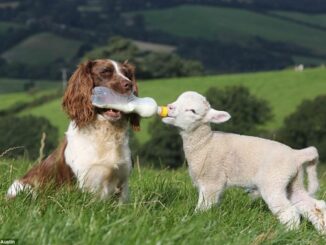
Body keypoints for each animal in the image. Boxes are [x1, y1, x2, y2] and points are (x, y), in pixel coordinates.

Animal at [7, 59, 140, 201]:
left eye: (127, 74)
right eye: (105, 71)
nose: (129, 85)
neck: (105, 133)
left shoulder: (123, 182)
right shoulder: (83, 182)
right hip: (24, 188)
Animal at [162, 91, 326, 233]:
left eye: (192, 111)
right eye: (177, 99)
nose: (169, 107)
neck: (205, 143)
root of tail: (296, 155)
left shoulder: (212, 181)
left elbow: (204, 206)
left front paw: (194, 222)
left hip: (273, 181)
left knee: (289, 211)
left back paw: (287, 234)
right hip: (293, 182)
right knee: (314, 206)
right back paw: (321, 232)